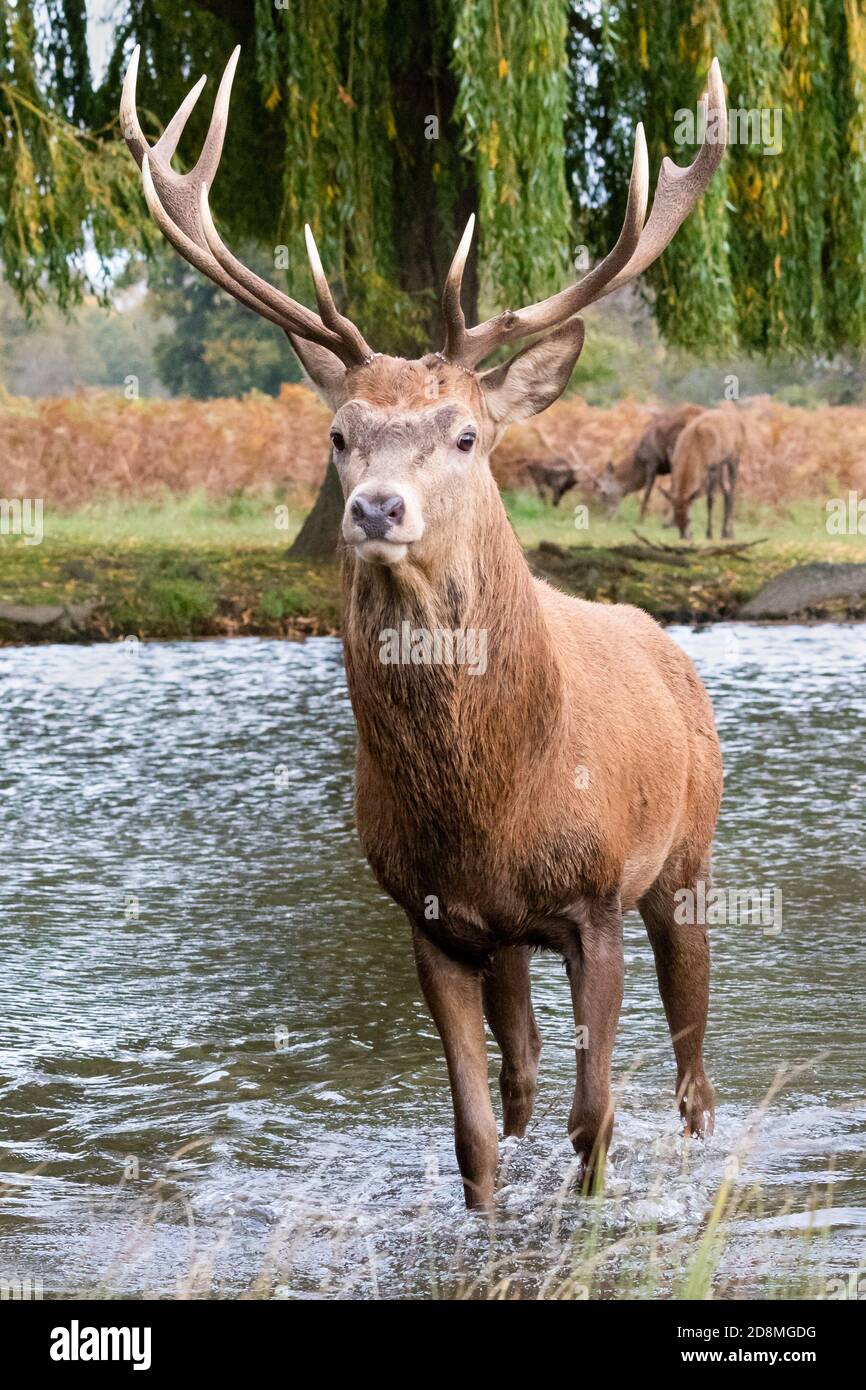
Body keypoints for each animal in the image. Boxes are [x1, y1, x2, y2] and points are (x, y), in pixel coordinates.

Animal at [125, 48, 728, 1206]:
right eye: (339, 432)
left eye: (464, 434)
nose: (374, 508)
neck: (488, 800)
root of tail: (664, 638)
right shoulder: (427, 916)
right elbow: (476, 1133)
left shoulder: (595, 898)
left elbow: (597, 1117)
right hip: (510, 938)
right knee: (524, 1064)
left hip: (688, 857)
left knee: (690, 1063)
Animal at [661, 405, 739, 539]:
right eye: (675, 519)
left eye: (689, 519)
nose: (684, 536)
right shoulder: (675, 465)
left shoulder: (713, 467)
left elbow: (710, 499)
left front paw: (709, 534)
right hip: (721, 466)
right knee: (727, 491)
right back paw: (724, 532)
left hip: (734, 458)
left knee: (732, 492)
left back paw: (730, 533)